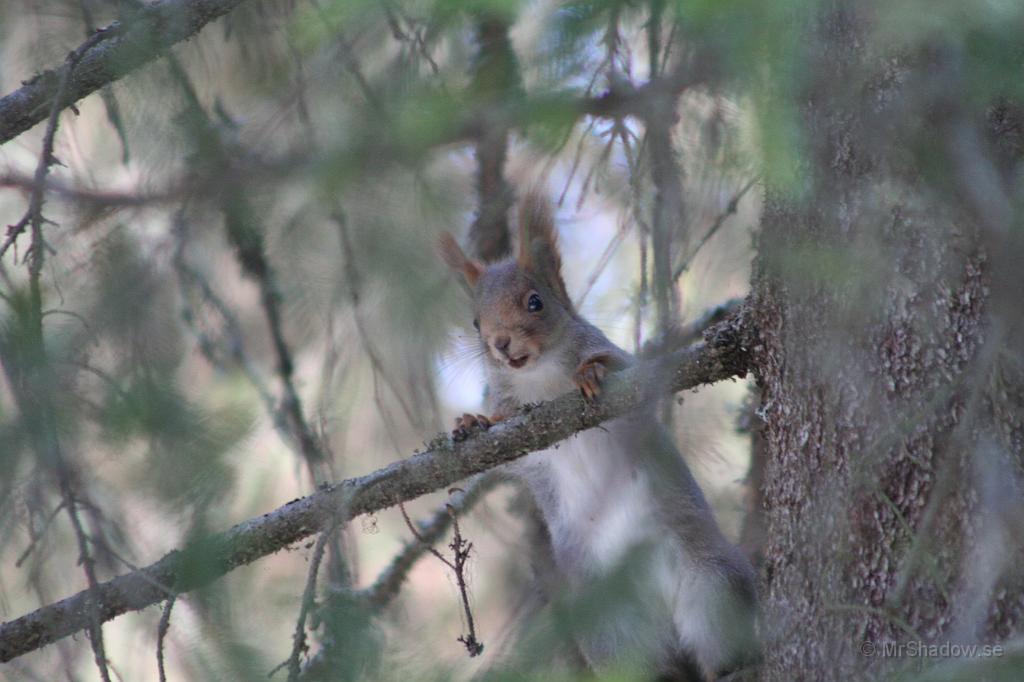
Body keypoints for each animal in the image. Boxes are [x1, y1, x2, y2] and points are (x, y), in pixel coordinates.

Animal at [440, 191, 761, 679]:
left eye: (535, 302)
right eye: (476, 322)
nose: (500, 343)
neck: (540, 377)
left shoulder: (627, 370)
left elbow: (619, 369)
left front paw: (591, 373)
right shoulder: (524, 438)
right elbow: (504, 442)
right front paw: (472, 422)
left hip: (714, 583)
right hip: (613, 632)